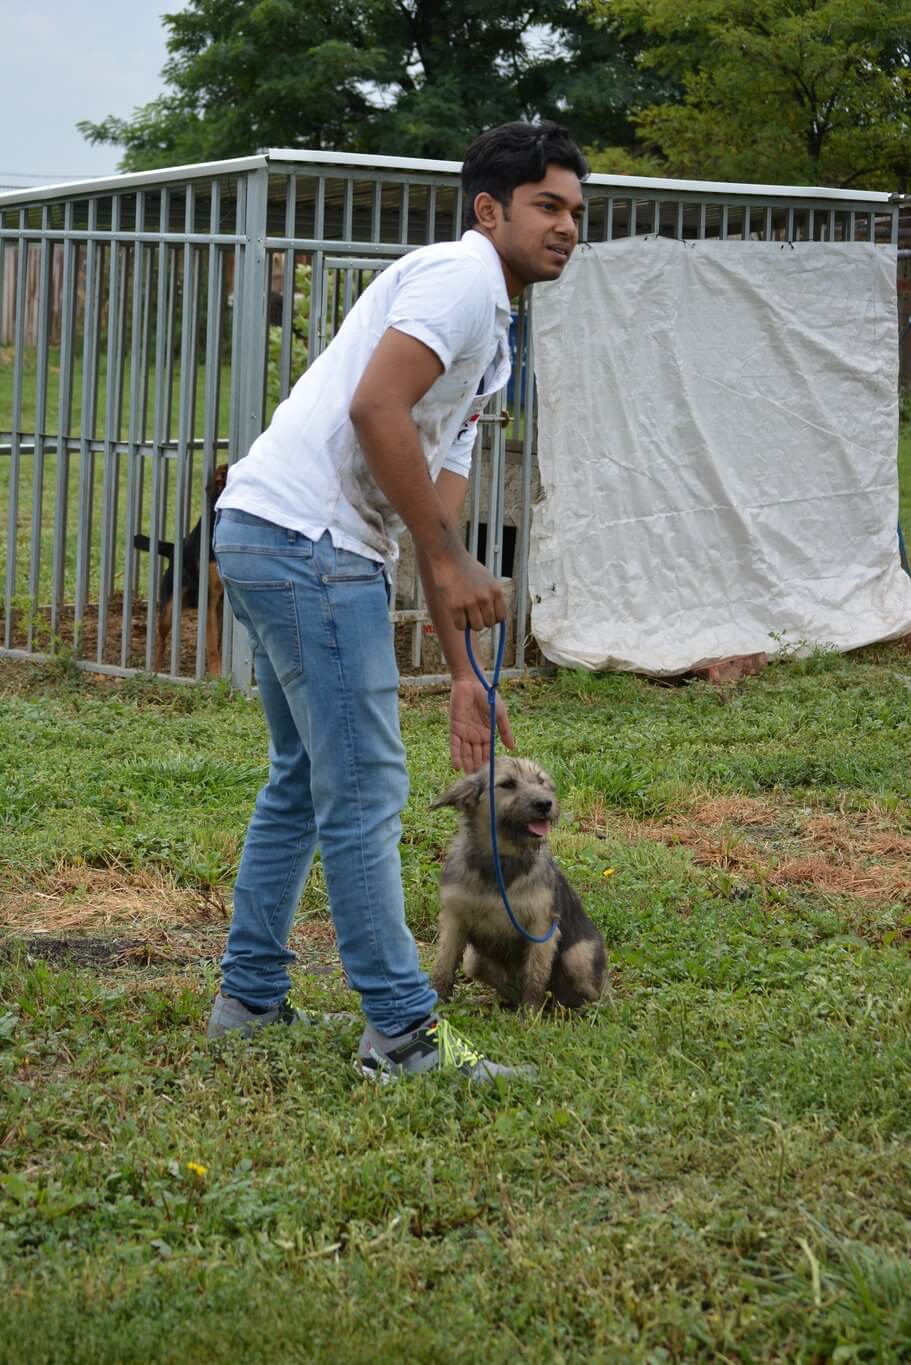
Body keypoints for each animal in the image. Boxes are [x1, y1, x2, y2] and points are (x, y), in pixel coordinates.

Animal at [133, 465, 227, 675]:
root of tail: (173, 548)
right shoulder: (209, 599)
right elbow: (212, 646)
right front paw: (216, 676)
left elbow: (218, 643)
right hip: (168, 610)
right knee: (161, 643)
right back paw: (155, 672)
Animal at [430, 756, 607, 1010]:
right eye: (508, 784)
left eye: (541, 781)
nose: (545, 804)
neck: (501, 861)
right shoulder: (454, 919)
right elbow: (443, 965)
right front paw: (438, 1002)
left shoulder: (542, 927)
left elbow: (535, 976)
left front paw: (530, 1013)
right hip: (473, 959)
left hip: (579, 956)